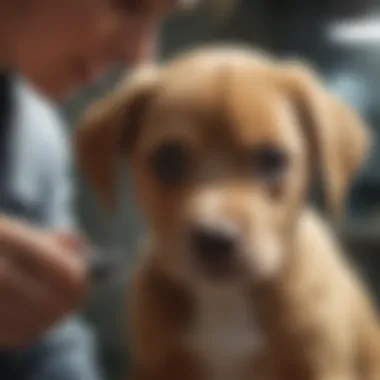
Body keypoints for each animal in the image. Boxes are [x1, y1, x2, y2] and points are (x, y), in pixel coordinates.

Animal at [75, 46, 380, 380]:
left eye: (272, 159)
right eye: (167, 159)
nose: (215, 240)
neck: (225, 299)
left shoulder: (321, 367)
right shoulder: (154, 365)